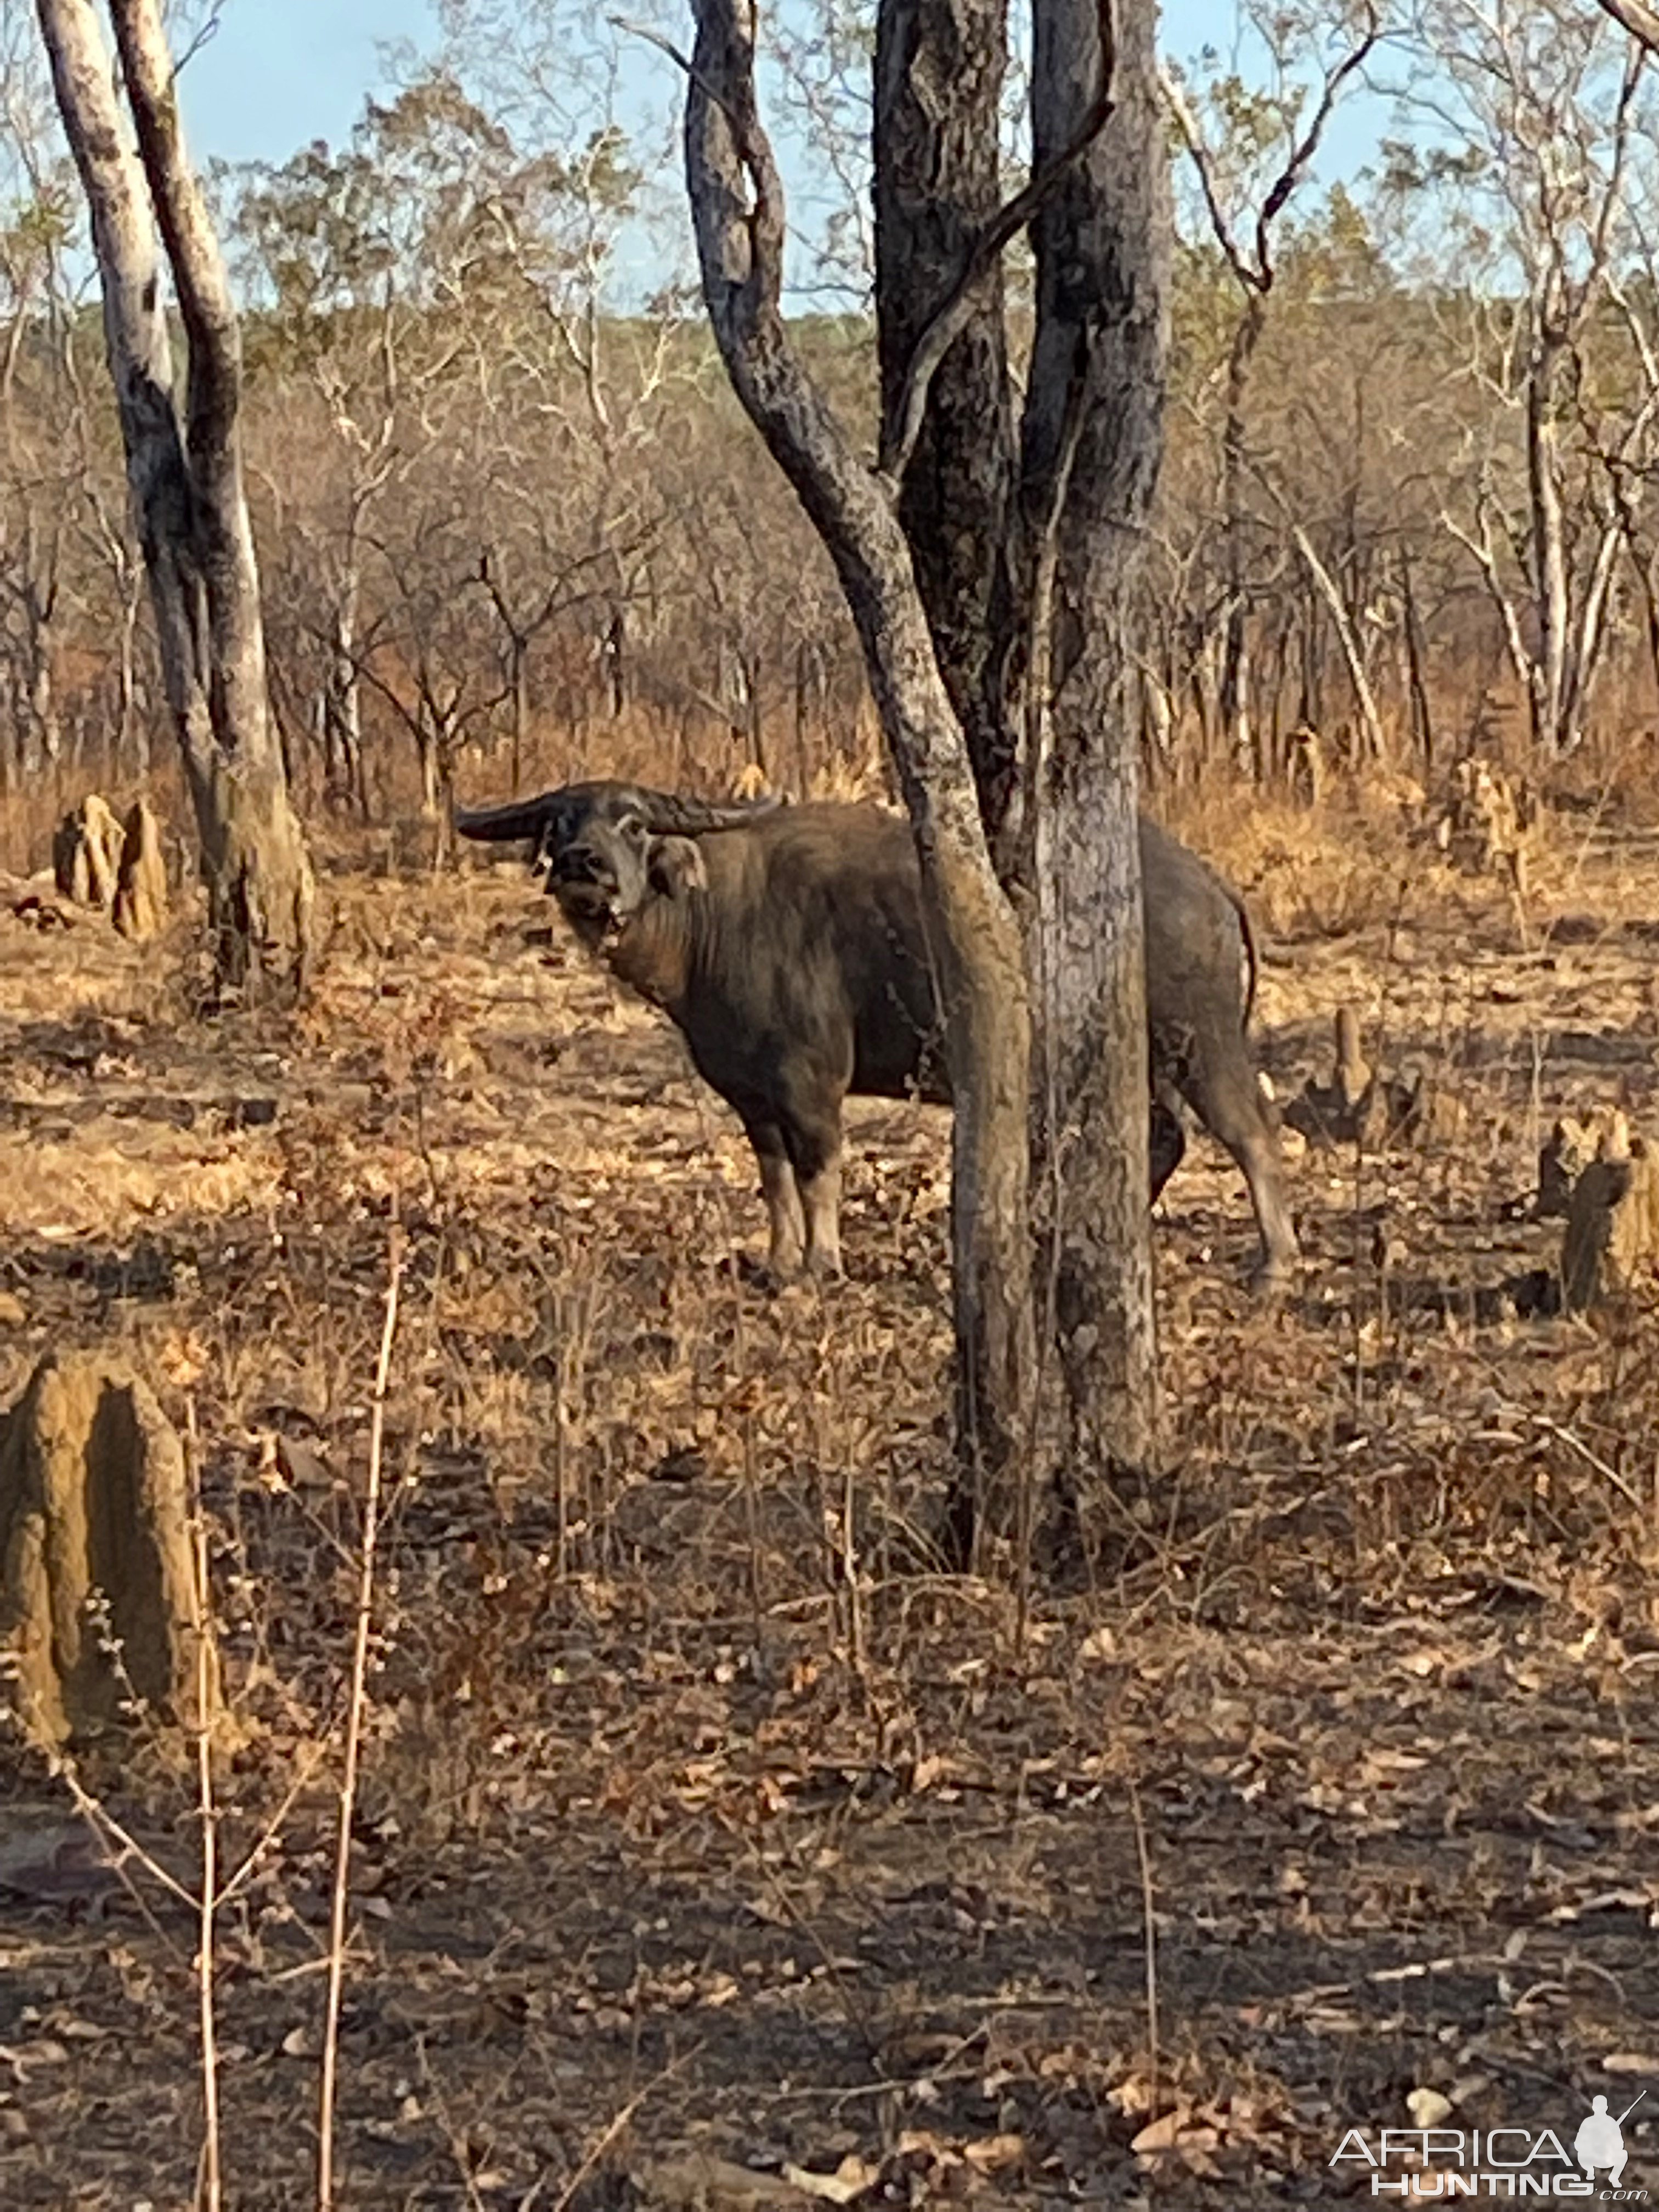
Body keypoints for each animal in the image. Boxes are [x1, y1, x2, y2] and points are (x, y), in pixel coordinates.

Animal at [462, 787, 1309, 1291]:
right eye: (560, 823)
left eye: (634, 823)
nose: (584, 866)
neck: (716, 920)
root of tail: (1205, 884)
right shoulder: (749, 1095)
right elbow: (774, 1180)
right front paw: (779, 1265)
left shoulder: (811, 1082)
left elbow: (819, 1173)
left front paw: (822, 1265)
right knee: (1163, 1136)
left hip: (1200, 1039)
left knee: (1251, 1131)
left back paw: (1275, 1264)